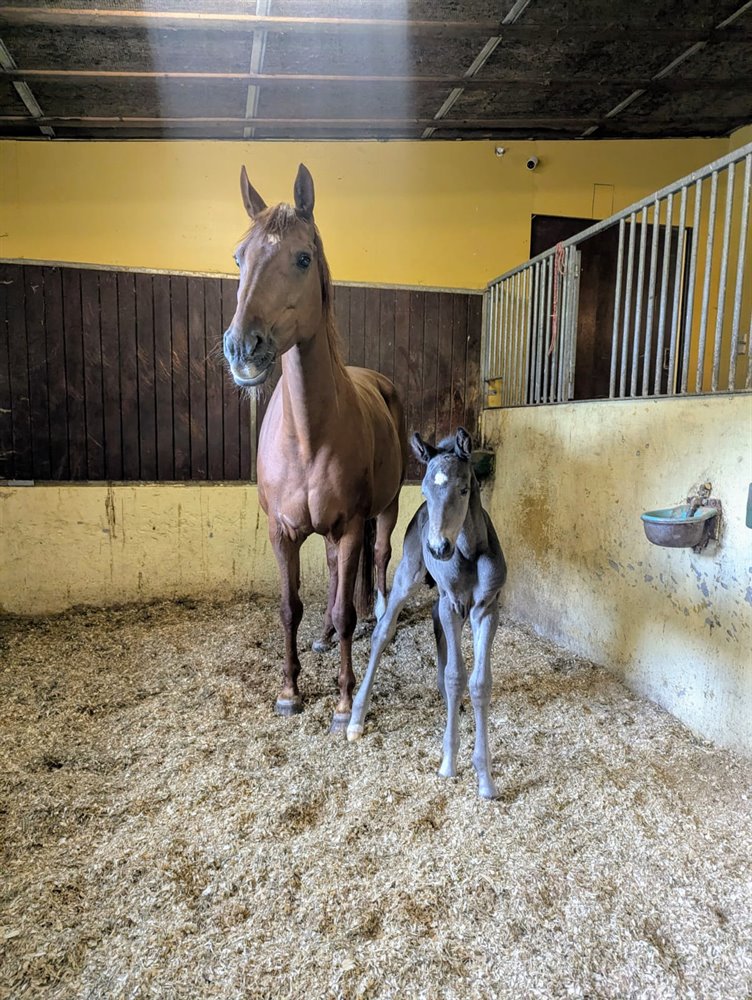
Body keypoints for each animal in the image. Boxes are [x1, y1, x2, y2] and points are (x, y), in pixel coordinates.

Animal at [223, 163, 408, 733]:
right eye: (239, 257)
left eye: (302, 257)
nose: (242, 348)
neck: (307, 435)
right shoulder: (282, 532)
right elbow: (290, 607)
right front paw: (289, 691)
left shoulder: (349, 526)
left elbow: (348, 607)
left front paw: (346, 702)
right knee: (330, 575)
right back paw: (324, 637)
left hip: (387, 507)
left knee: (377, 558)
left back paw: (377, 620)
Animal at [347, 428, 507, 799]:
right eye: (424, 489)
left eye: (463, 489)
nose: (437, 548)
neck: (469, 552)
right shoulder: (453, 603)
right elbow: (456, 676)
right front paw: (449, 763)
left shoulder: (486, 608)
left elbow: (479, 682)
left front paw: (485, 777)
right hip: (408, 573)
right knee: (382, 632)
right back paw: (355, 718)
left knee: (435, 625)